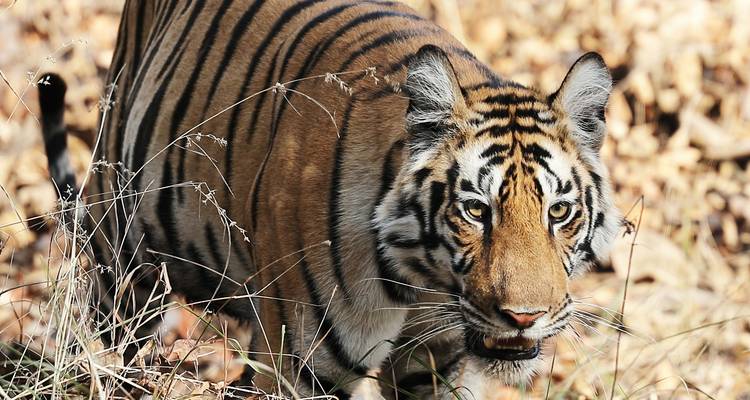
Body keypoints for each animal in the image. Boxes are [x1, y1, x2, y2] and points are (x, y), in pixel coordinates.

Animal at [38, 0, 621, 398]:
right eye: (476, 210)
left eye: (559, 212)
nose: (525, 318)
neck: (425, 282)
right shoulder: (305, 367)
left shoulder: (440, 366)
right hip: (124, 265)